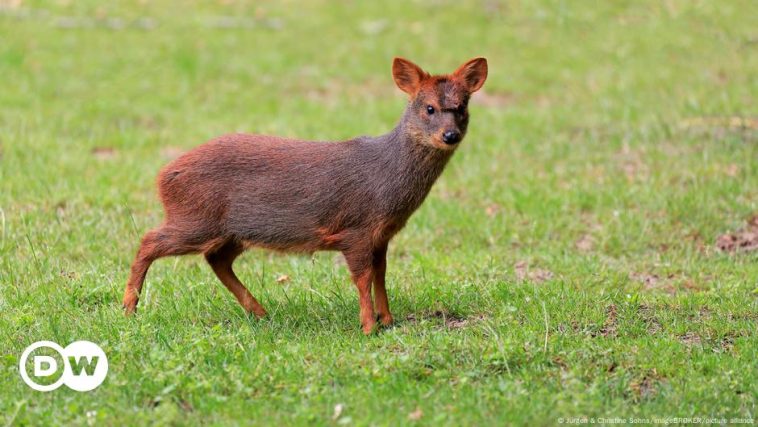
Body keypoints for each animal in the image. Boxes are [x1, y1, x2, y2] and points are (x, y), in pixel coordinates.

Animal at [121, 56, 490, 334]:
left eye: (461, 106)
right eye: (428, 108)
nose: (450, 135)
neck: (385, 178)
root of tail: (162, 176)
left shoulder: (381, 234)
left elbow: (381, 274)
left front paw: (388, 320)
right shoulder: (356, 228)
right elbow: (362, 277)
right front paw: (368, 326)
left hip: (231, 231)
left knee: (216, 259)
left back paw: (259, 311)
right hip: (195, 218)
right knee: (149, 240)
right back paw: (128, 308)